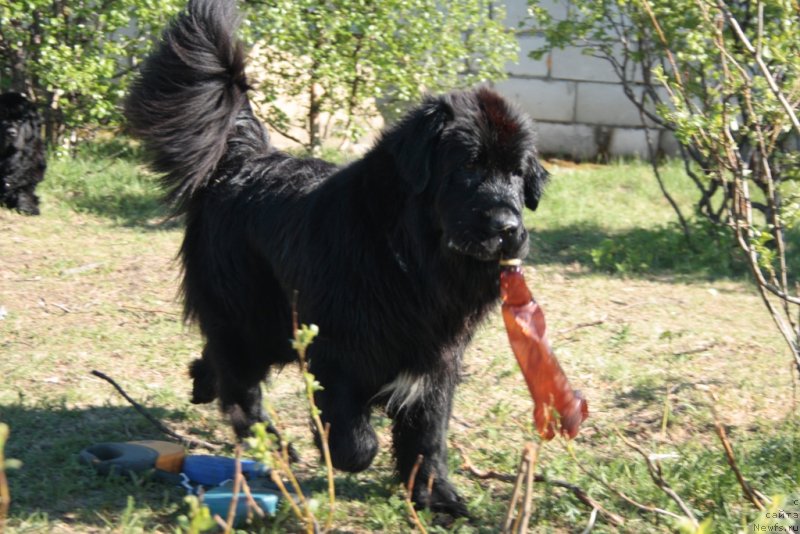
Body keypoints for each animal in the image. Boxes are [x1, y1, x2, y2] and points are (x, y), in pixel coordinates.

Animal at [126, 0, 552, 520]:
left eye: (516, 174)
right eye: (468, 165)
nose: (508, 227)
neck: (412, 259)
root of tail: (241, 159)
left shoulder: (438, 361)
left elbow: (429, 434)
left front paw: (436, 496)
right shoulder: (337, 349)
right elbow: (355, 439)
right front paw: (348, 452)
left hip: (272, 327)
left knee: (223, 362)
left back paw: (203, 383)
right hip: (254, 315)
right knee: (241, 383)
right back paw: (273, 444)